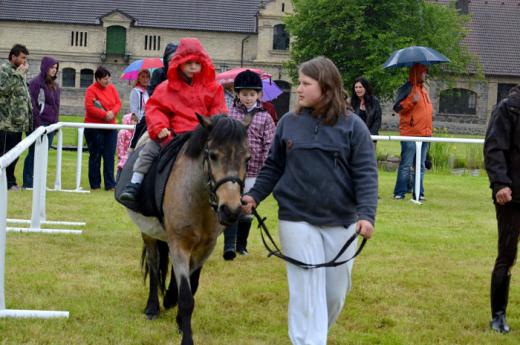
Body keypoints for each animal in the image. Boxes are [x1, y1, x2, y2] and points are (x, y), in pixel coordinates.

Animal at [125, 114, 249, 342]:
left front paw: (178, 319)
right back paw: (152, 307)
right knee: (154, 265)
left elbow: (192, 287)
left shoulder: (205, 248)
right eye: (213, 155)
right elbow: (185, 297)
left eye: (247, 159)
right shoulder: (179, 244)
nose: (231, 210)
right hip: (148, 233)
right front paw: (186, 336)